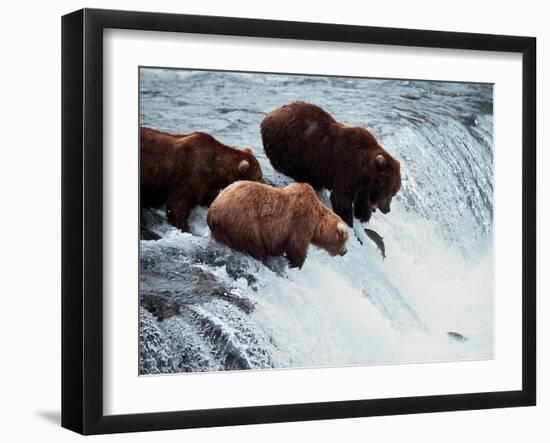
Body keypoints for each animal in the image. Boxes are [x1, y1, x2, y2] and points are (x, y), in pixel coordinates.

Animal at [207, 180, 350, 268]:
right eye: (345, 239)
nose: (345, 251)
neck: (317, 224)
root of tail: (212, 212)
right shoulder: (301, 222)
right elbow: (297, 246)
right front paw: (296, 263)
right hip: (243, 221)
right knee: (254, 244)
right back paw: (262, 257)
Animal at [260, 100, 404, 225]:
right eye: (387, 190)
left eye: (394, 192)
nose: (387, 209)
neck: (365, 172)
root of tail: (268, 116)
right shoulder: (347, 168)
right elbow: (341, 197)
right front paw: (348, 220)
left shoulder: (363, 185)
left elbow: (362, 200)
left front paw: (363, 216)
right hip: (287, 145)